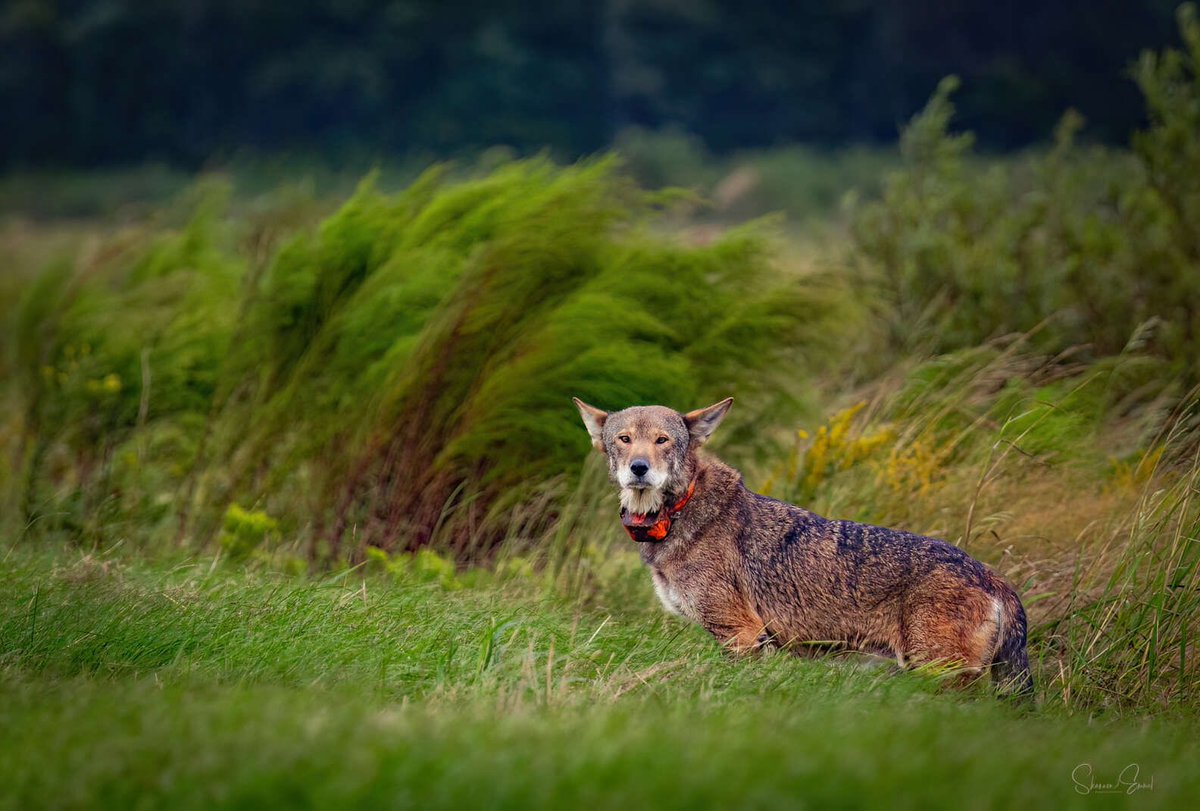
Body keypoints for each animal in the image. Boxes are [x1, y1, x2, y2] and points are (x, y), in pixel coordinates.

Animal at [573, 396, 1033, 694]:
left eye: (663, 440)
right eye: (624, 439)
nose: (639, 468)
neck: (679, 512)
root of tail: (991, 576)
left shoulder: (742, 634)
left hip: (936, 673)